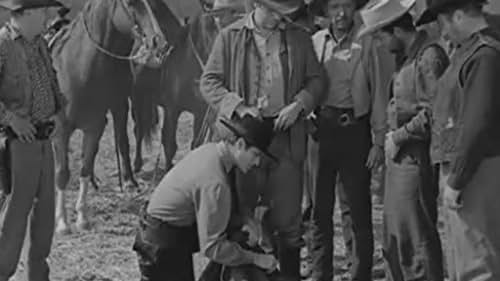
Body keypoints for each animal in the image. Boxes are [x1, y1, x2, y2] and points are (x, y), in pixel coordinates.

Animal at [48, 0, 181, 234]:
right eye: (129, 3)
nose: (159, 41)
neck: (77, 69)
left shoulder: (94, 127)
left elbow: (85, 166)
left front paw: (82, 217)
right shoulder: (61, 131)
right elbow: (62, 174)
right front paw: (62, 223)